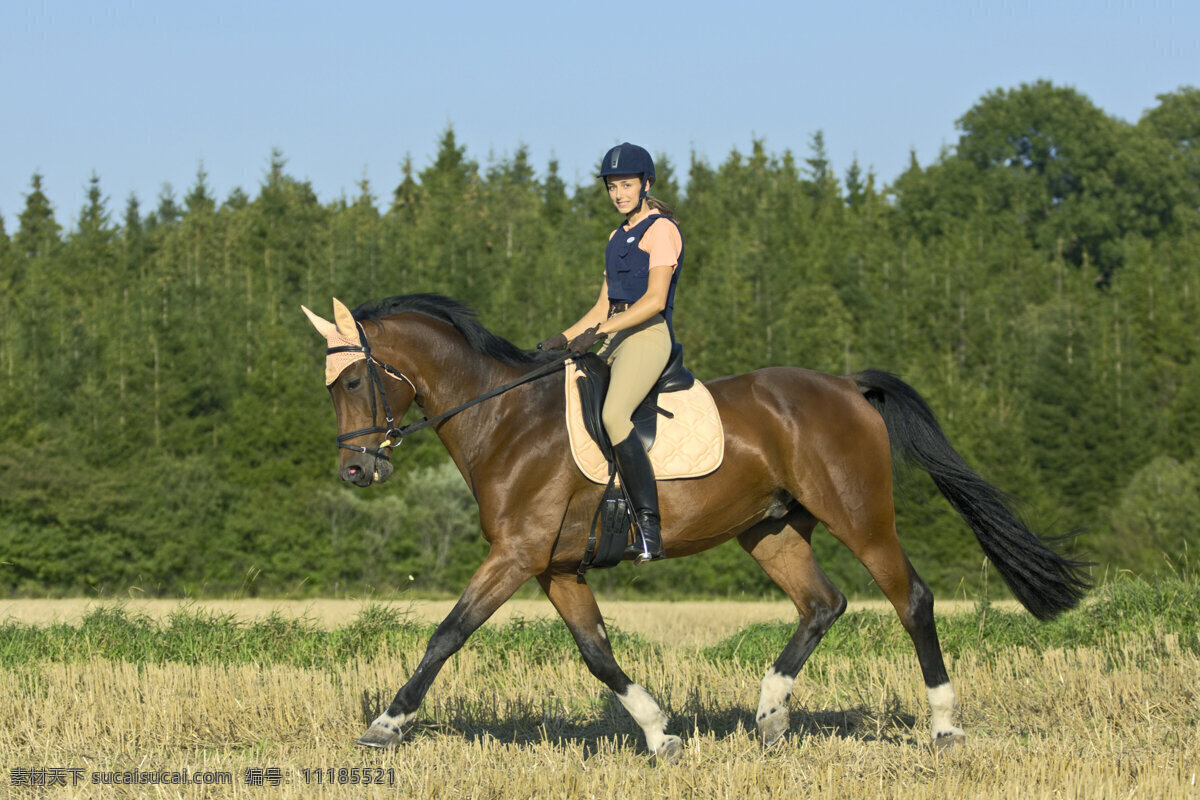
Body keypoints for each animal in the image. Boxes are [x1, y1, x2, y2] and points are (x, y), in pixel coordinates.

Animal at [302, 293, 1089, 762]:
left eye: (353, 381)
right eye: (329, 386)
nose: (356, 471)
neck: (505, 418)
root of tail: (845, 386)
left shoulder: (517, 555)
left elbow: (448, 633)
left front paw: (386, 725)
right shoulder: (555, 567)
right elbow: (597, 653)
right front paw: (660, 733)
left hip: (861, 517)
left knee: (911, 600)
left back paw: (944, 725)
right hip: (770, 531)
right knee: (822, 603)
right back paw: (769, 714)